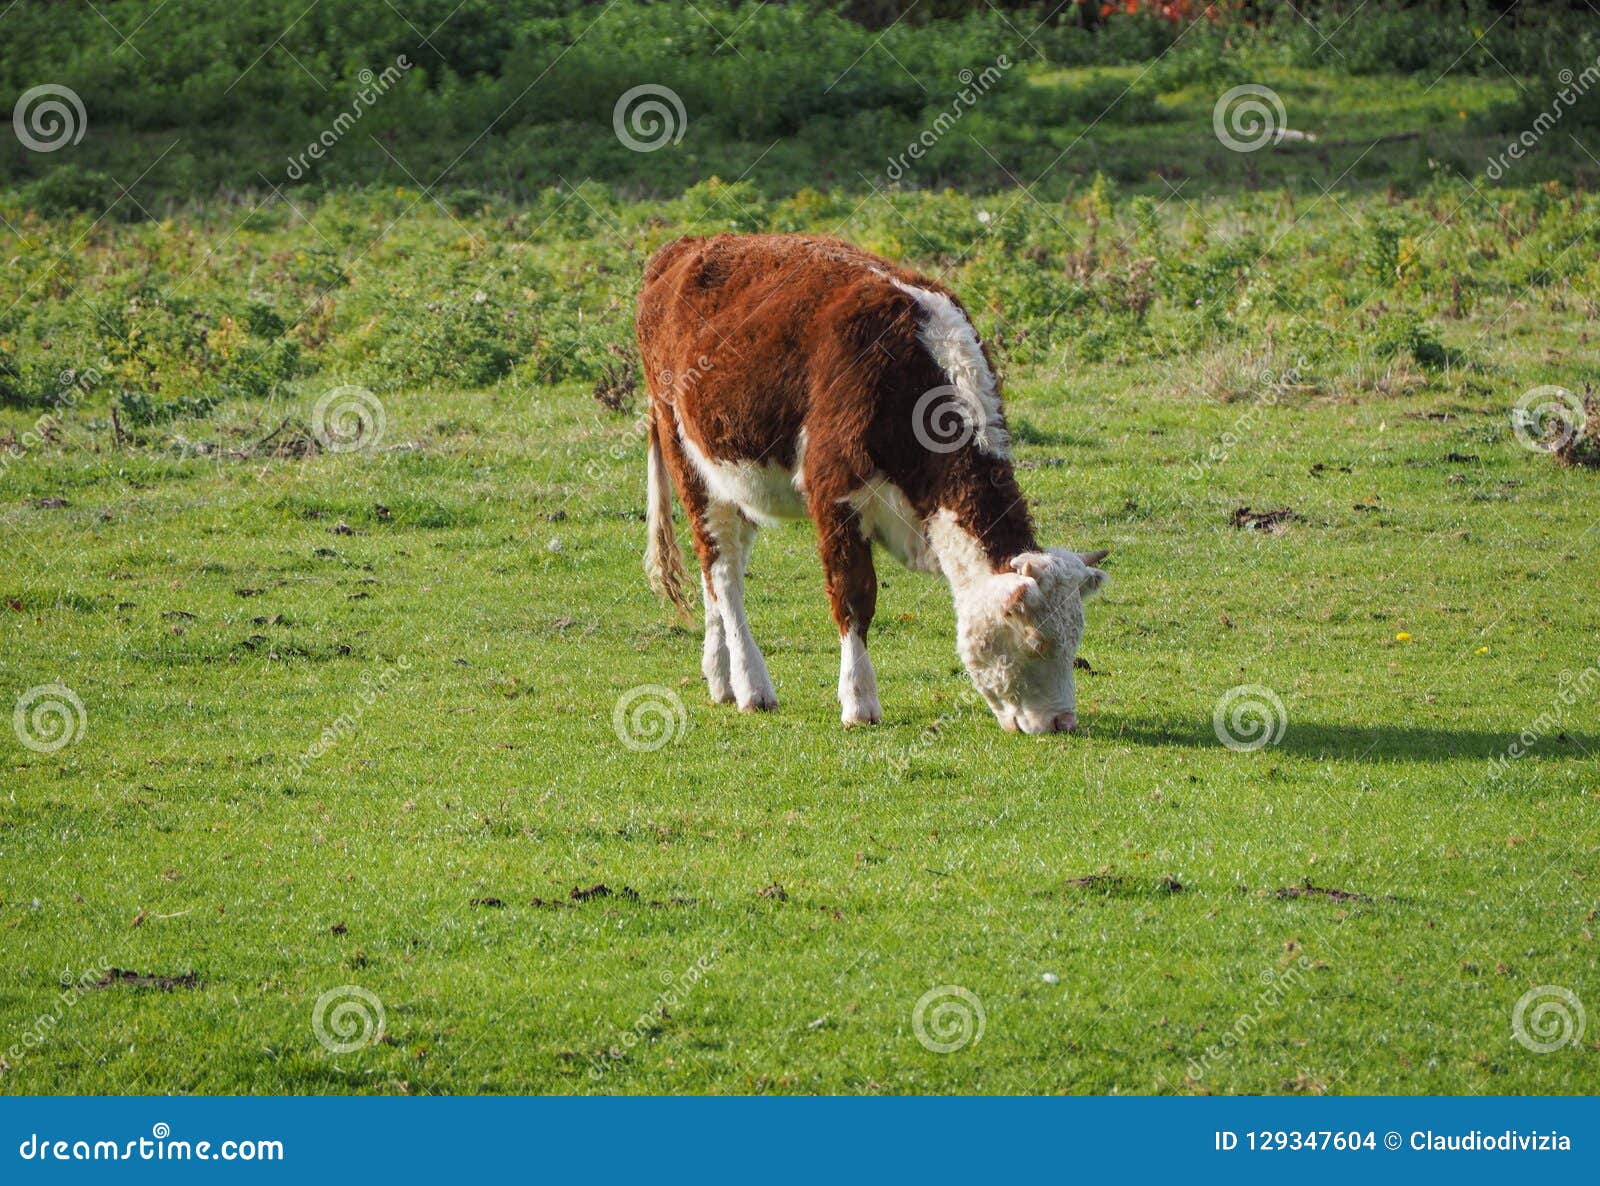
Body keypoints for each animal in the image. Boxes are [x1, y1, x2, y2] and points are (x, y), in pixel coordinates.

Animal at [630, 232, 1107, 729]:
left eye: (1075, 640)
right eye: (1036, 642)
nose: (1062, 722)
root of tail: (686, 245)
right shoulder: (833, 493)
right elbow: (854, 596)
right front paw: (859, 701)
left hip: (732, 477)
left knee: (719, 570)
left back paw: (720, 677)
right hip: (686, 457)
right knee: (723, 571)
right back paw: (751, 685)